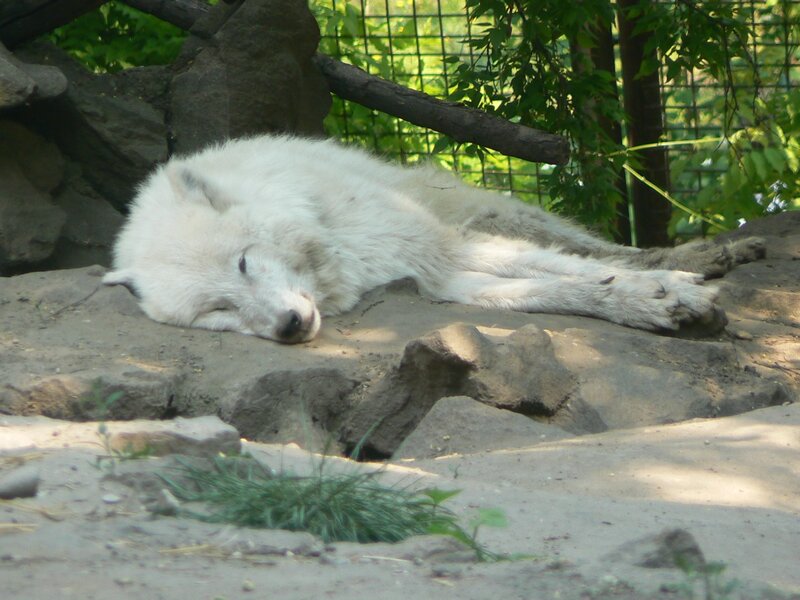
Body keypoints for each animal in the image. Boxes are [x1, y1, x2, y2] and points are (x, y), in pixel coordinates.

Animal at [104, 135, 765, 344]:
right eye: (217, 312)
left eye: (242, 264)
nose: (289, 327)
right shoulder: (439, 278)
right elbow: (545, 292)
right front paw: (652, 302)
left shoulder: (434, 246)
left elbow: (573, 271)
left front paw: (668, 292)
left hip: (476, 208)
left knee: (586, 243)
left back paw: (709, 254)